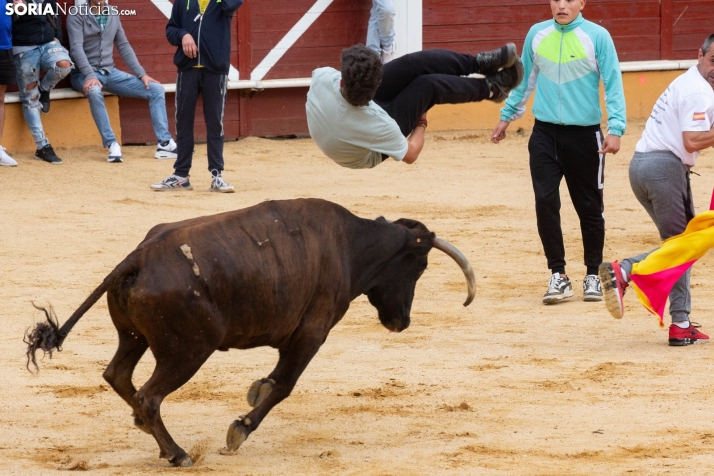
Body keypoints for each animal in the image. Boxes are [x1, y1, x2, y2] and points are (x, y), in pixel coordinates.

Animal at [25, 197, 472, 464]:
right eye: (420, 266)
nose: (402, 321)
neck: (352, 243)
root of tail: (137, 257)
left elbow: (275, 382)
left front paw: (253, 393)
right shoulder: (312, 333)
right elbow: (283, 385)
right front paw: (239, 428)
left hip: (134, 338)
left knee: (118, 375)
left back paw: (146, 427)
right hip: (187, 351)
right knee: (150, 395)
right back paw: (178, 453)